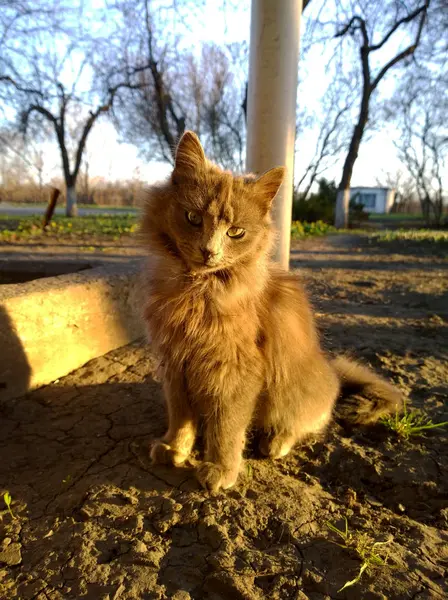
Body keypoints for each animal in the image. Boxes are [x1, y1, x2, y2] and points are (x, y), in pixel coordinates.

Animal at [141, 131, 402, 492]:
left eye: (235, 232)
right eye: (193, 218)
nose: (209, 251)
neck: (196, 290)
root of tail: (332, 372)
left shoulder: (234, 369)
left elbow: (226, 426)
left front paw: (221, 468)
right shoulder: (174, 363)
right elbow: (180, 416)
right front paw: (173, 449)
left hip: (291, 394)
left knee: (306, 423)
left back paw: (275, 442)